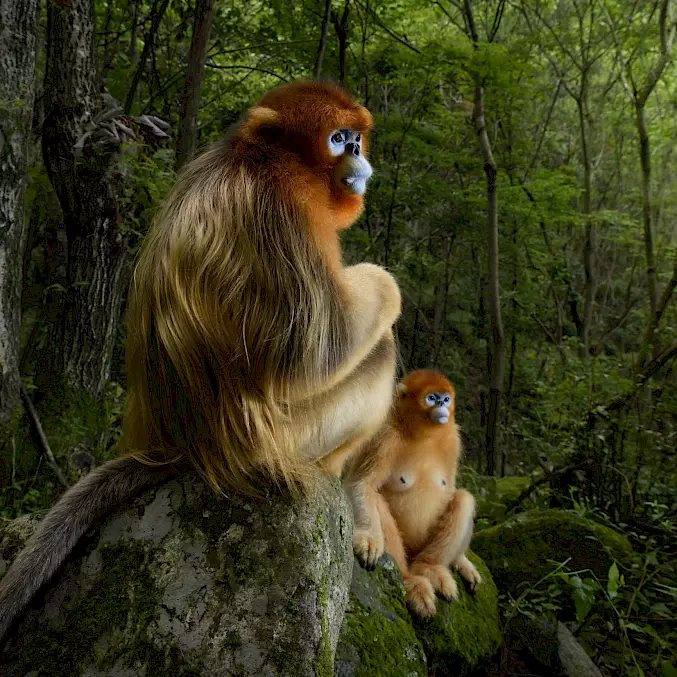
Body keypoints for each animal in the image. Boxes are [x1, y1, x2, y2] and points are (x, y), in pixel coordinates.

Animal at [0, 80, 398, 644]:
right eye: (339, 138)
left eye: (356, 137)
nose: (358, 152)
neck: (253, 158)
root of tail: (179, 446)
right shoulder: (282, 209)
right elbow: (317, 351)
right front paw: (386, 283)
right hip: (289, 436)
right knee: (378, 348)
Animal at [348, 370, 480, 616]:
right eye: (431, 398)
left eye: (446, 398)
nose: (442, 404)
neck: (423, 435)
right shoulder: (385, 436)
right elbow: (362, 485)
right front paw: (368, 540)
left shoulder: (453, 439)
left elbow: (451, 489)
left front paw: (461, 561)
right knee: (376, 501)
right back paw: (410, 581)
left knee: (463, 498)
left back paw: (431, 568)